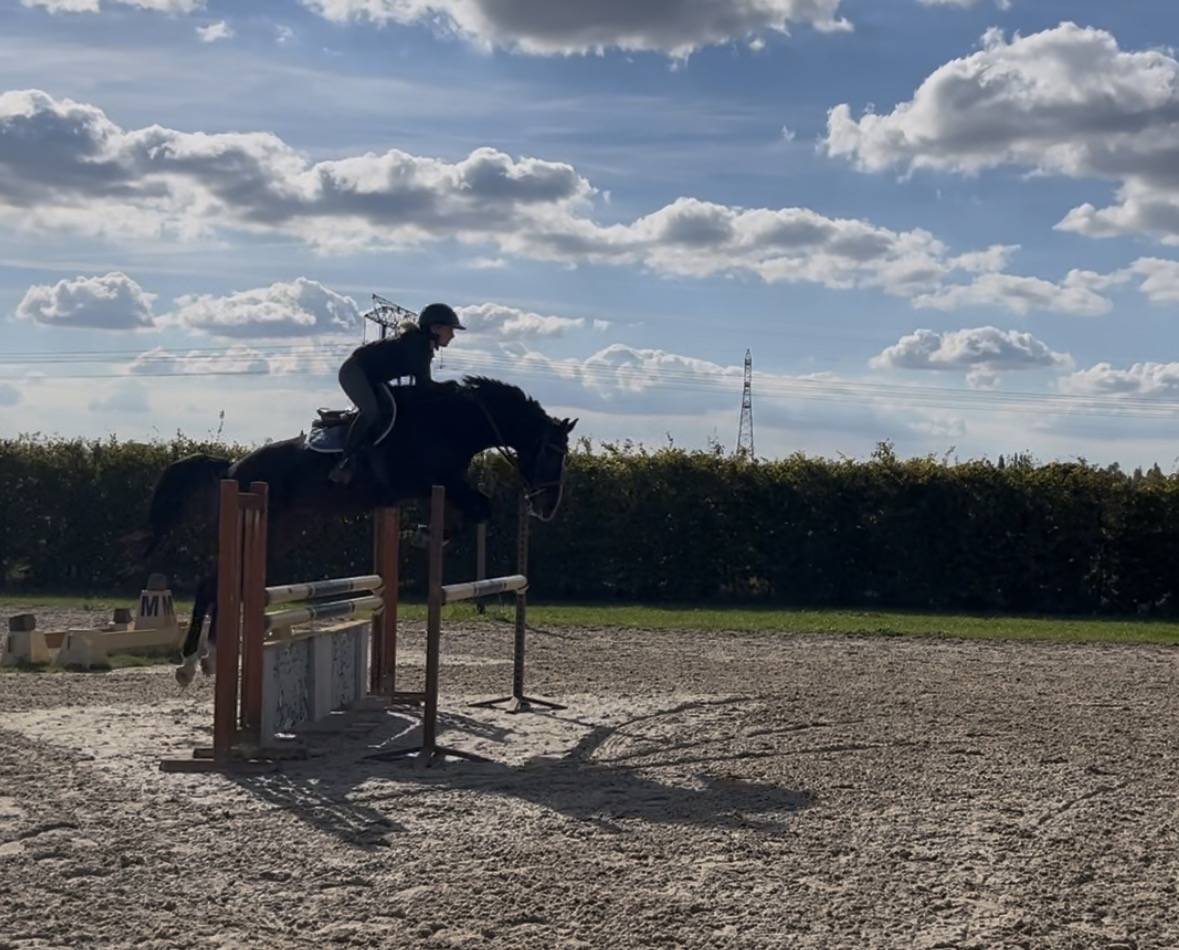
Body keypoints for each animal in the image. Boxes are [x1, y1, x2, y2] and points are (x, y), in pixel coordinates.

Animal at [135, 376, 576, 685]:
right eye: (552, 453)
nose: (548, 507)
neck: (450, 422)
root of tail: (232, 467)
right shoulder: (431, 480)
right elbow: (481, 507)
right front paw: (426, 534)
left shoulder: (444, 484)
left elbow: (477, 509)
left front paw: (425, 533)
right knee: (210, 583)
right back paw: (189, 664)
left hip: (278, 531)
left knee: (222, 584)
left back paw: (209, 658)